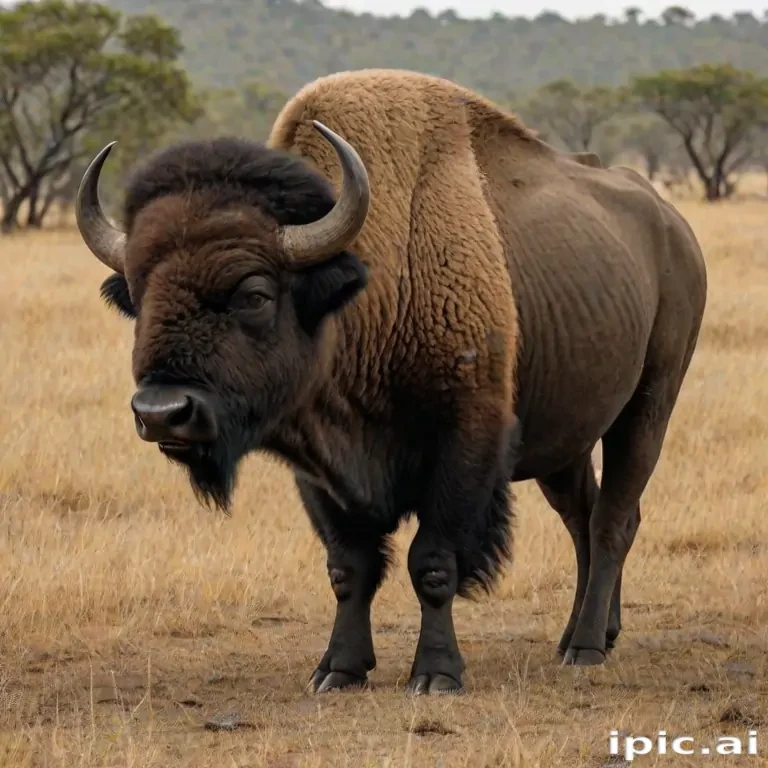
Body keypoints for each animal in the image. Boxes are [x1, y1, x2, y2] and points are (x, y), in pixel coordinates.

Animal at [75, 69, 707, 695]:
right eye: (137, 294)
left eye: (254, 294)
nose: (161, 412)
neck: (367, 290)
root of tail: (674, 228)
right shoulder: (318, 469)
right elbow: (349, 568)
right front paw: (338, 670)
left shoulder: (465, 444)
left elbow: (432, 563)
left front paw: (436, 674)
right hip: (565, 442)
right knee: (582, 517)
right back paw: (588, 633)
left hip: (648, 409)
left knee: (613, 519)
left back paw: (586, 647)